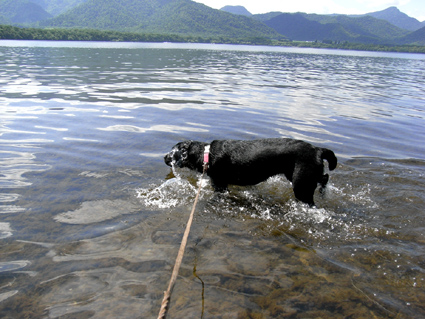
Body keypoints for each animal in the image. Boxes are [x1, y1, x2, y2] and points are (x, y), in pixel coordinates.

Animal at [164, 139, 336, 206]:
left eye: (172, 151)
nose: (164, 157)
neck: (206, 154)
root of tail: (318, 149)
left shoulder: (220, 185)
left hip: (301, 184)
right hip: (300, 176)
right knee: (324, 177)